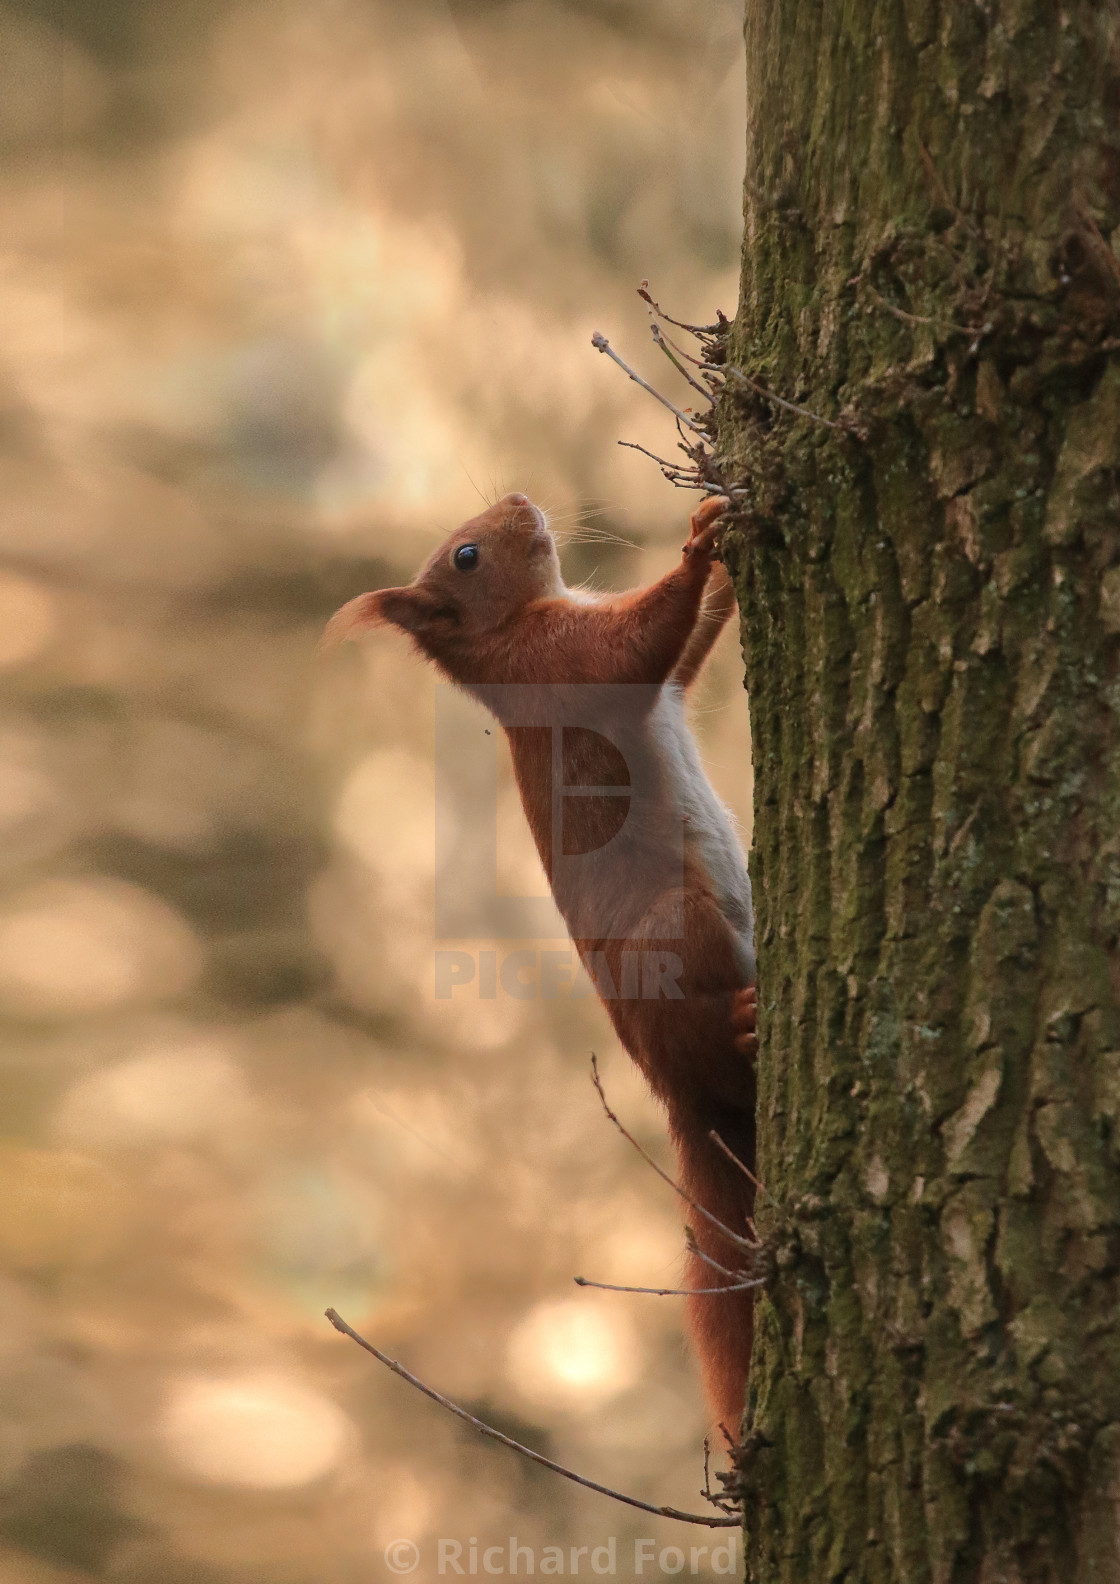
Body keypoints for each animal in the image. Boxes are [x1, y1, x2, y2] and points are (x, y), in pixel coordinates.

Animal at [326, 497, 763, 1438]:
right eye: (465, 555)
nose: (523, 501)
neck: (510, 632)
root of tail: (684, 1100)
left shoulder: (639, 679)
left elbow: (687, 655)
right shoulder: (562, 667)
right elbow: (638, 645)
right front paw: (698, 543)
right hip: (678, 933)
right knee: (709, 1032)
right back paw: (742, 1026)